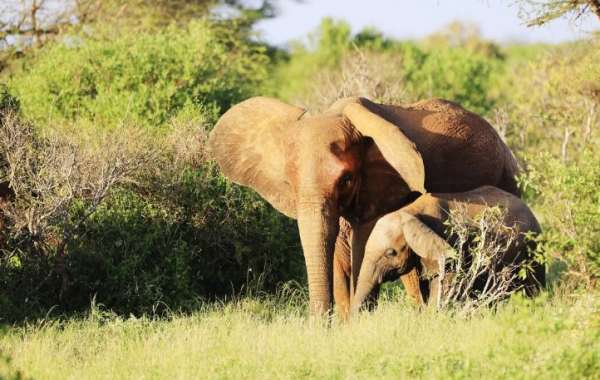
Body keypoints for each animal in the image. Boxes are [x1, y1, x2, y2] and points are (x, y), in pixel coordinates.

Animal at [354, 185, 548, 314]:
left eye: (390, 253)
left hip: (532, 249)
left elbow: (446, 280)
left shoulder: (449, 239)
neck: (409, 211)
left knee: (533, 287)